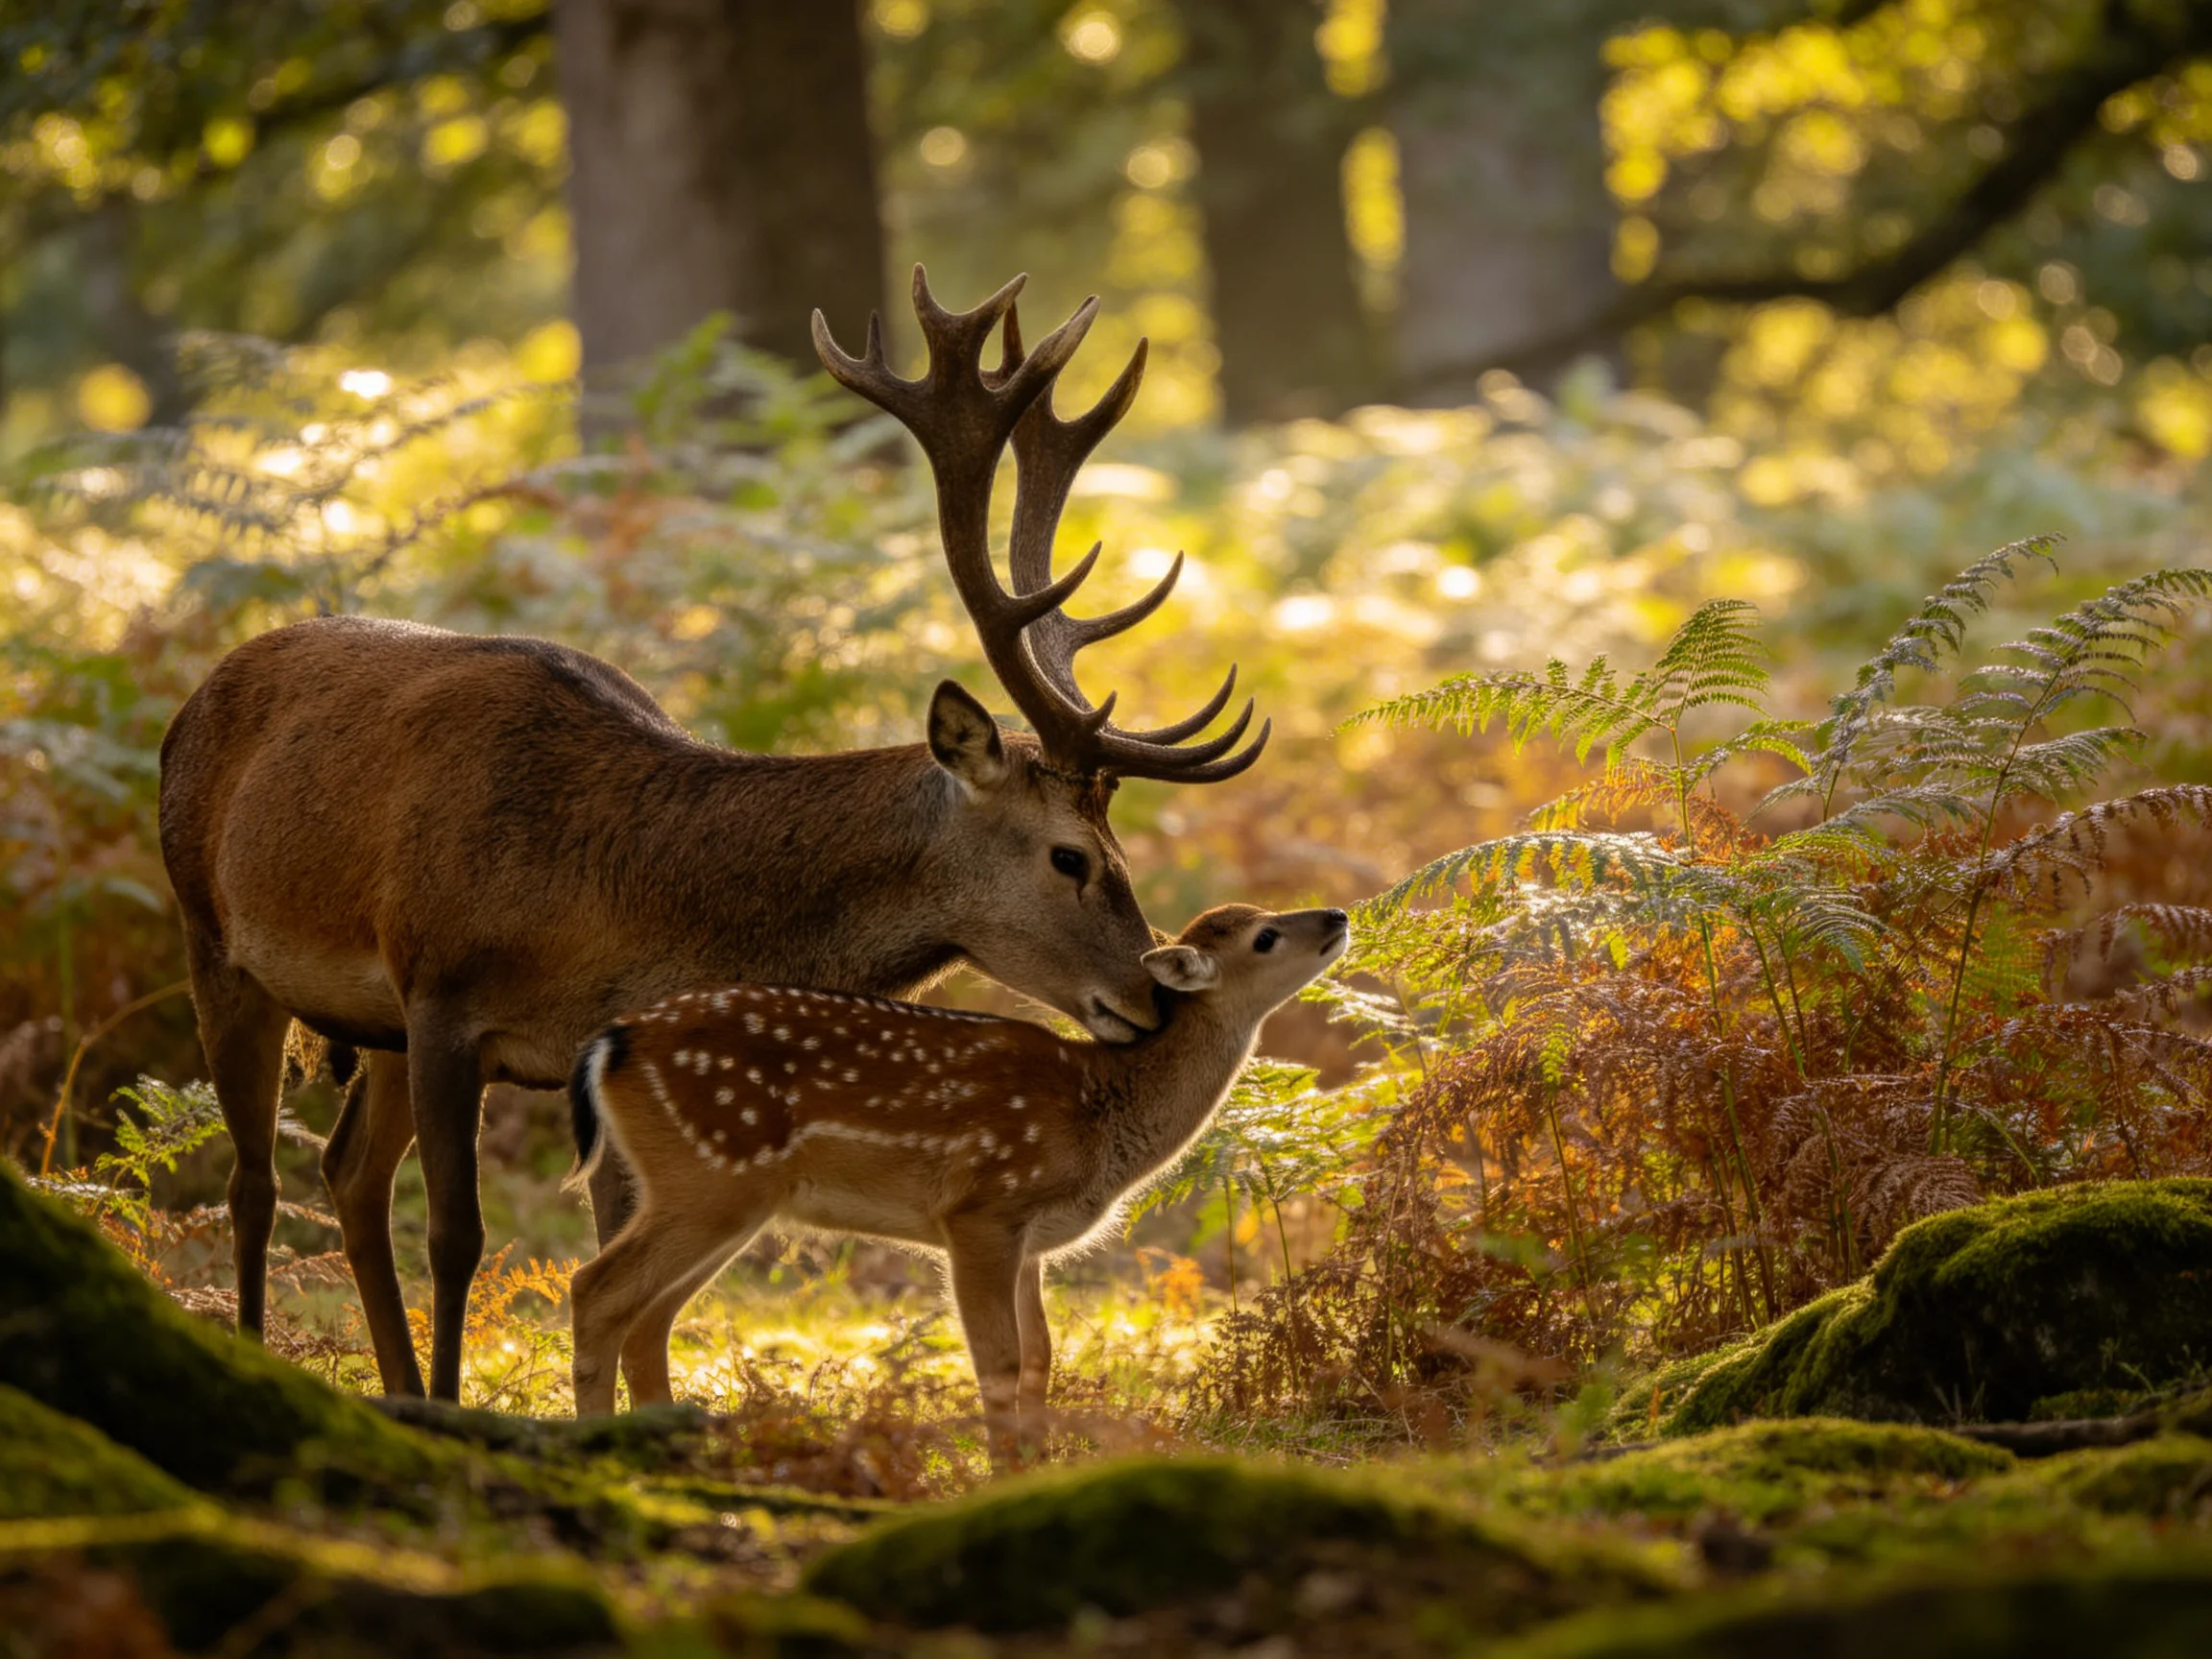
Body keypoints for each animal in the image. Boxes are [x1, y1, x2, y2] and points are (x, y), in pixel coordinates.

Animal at [156, 268, 1269, 1404]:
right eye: (1070, 857)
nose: (1150, 996)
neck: (620, 903)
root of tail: (199, 692)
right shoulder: (443, 993)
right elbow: (460, 1236)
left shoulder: (595, 1054)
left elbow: (616, 1263)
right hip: (215, 935)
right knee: (255, 1181)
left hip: (368, 1027)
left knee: (346, 1173)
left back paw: (394, 1384)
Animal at [566, 902, 1348, 1461]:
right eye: (1265, 936)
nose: (1337, 917)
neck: (1099, 1112)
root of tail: (610, 1044)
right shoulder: (982, 1209)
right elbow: (999, 1361)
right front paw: (1002, 1475)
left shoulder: (1031, 1241)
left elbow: (1041, 1358)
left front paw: (1037, 1468)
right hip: (708, 1177)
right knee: (595, 1286)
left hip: (726, 1196)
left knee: (650, 1317)